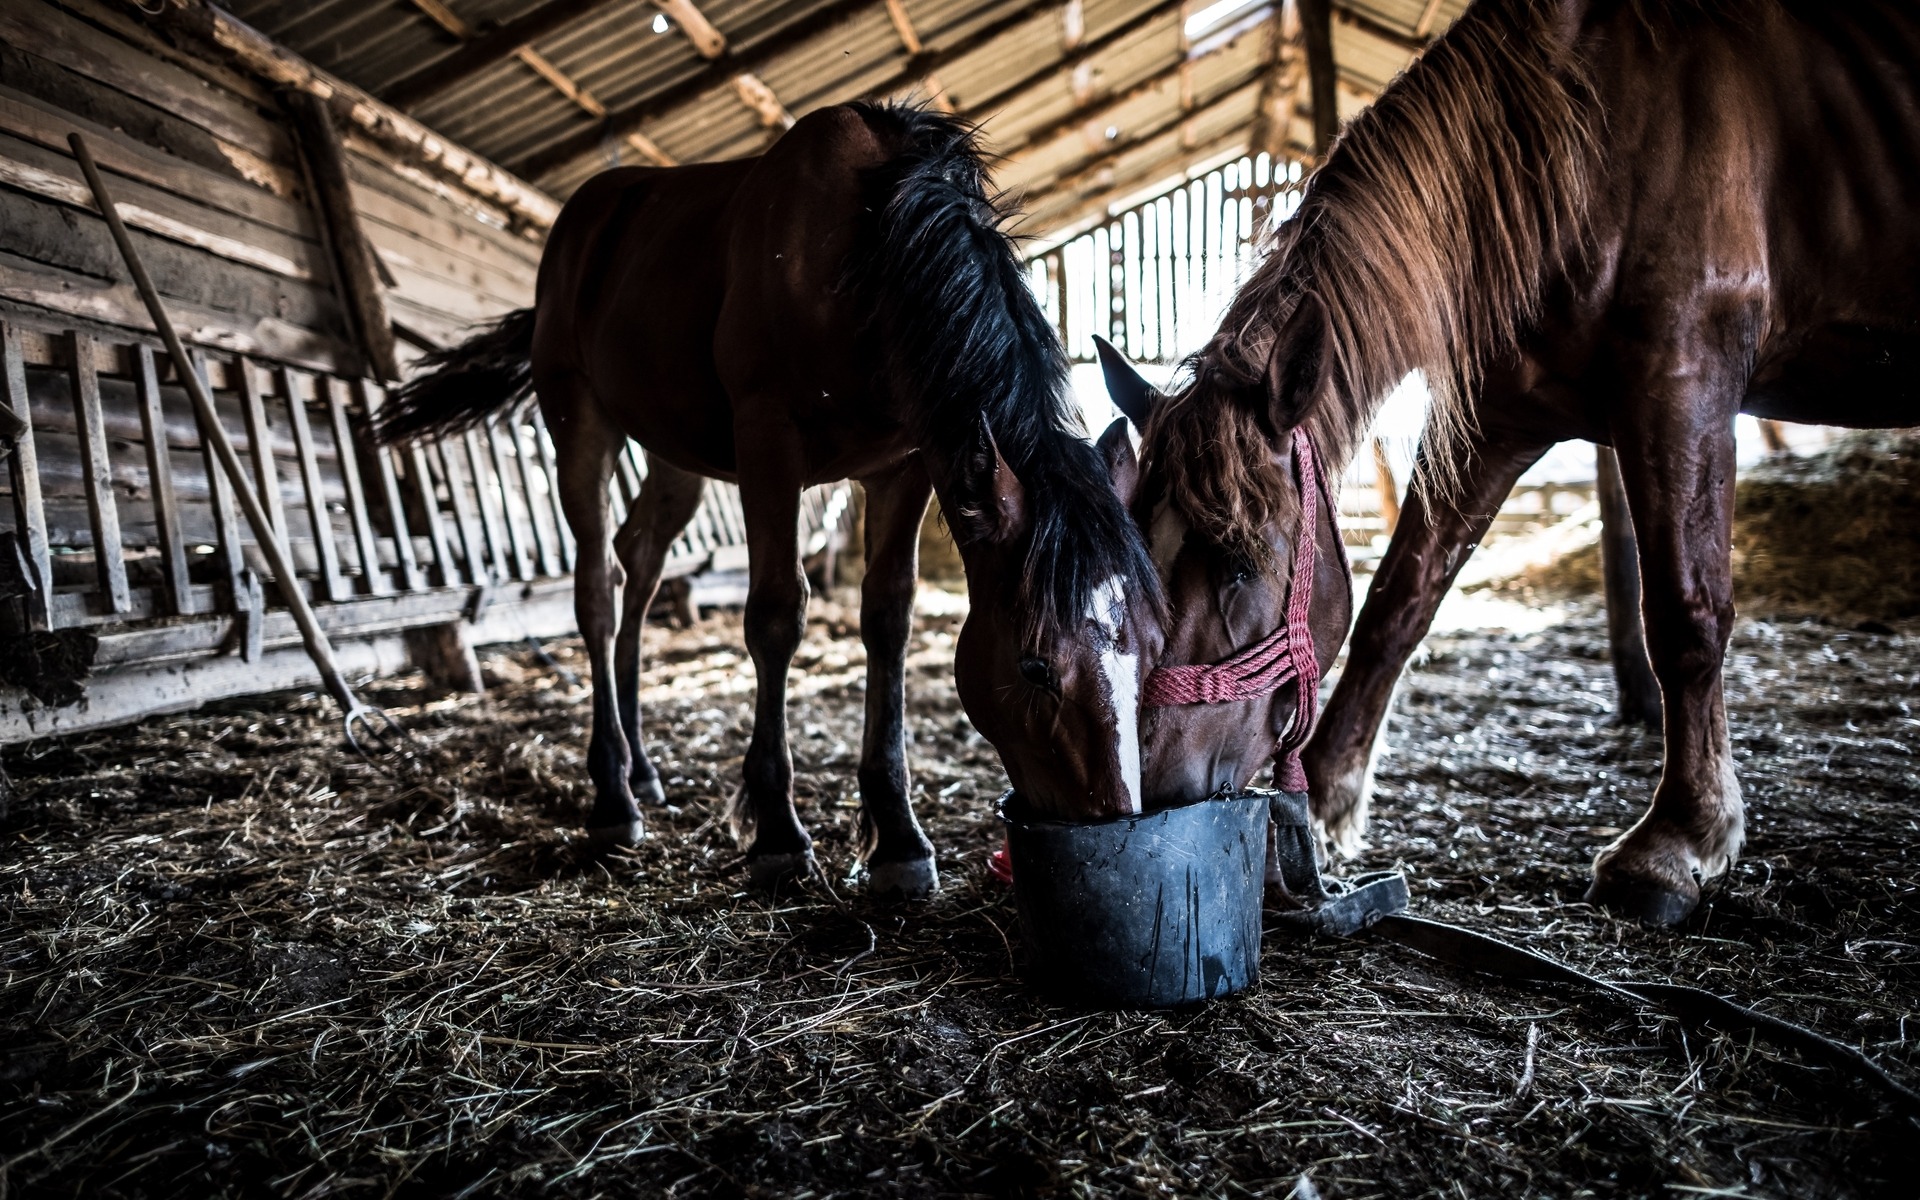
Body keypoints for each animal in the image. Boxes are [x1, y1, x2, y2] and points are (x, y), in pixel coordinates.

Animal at [372, 102, 1152, 894]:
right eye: (1034, 667)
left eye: (1151, 648)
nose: (1111, 819)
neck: (869, 246)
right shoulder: (768, 445)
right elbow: (777, 616)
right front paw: (776, 828)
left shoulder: (904, 467)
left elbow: (888, 620)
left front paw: (898, 837)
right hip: (579, 422)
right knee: (597, 586)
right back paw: (613, 796)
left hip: (674, 456)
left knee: (638, 564)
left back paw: (642, 769)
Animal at [1105, 0, 1920, 917]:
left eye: (1240, 564)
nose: (1158, 785)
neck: (1589, 135)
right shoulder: (1501, 420)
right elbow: (1398, 601)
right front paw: (1324, 798)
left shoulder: (1684, 378)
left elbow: (1686, 614)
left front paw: (1677, 842)